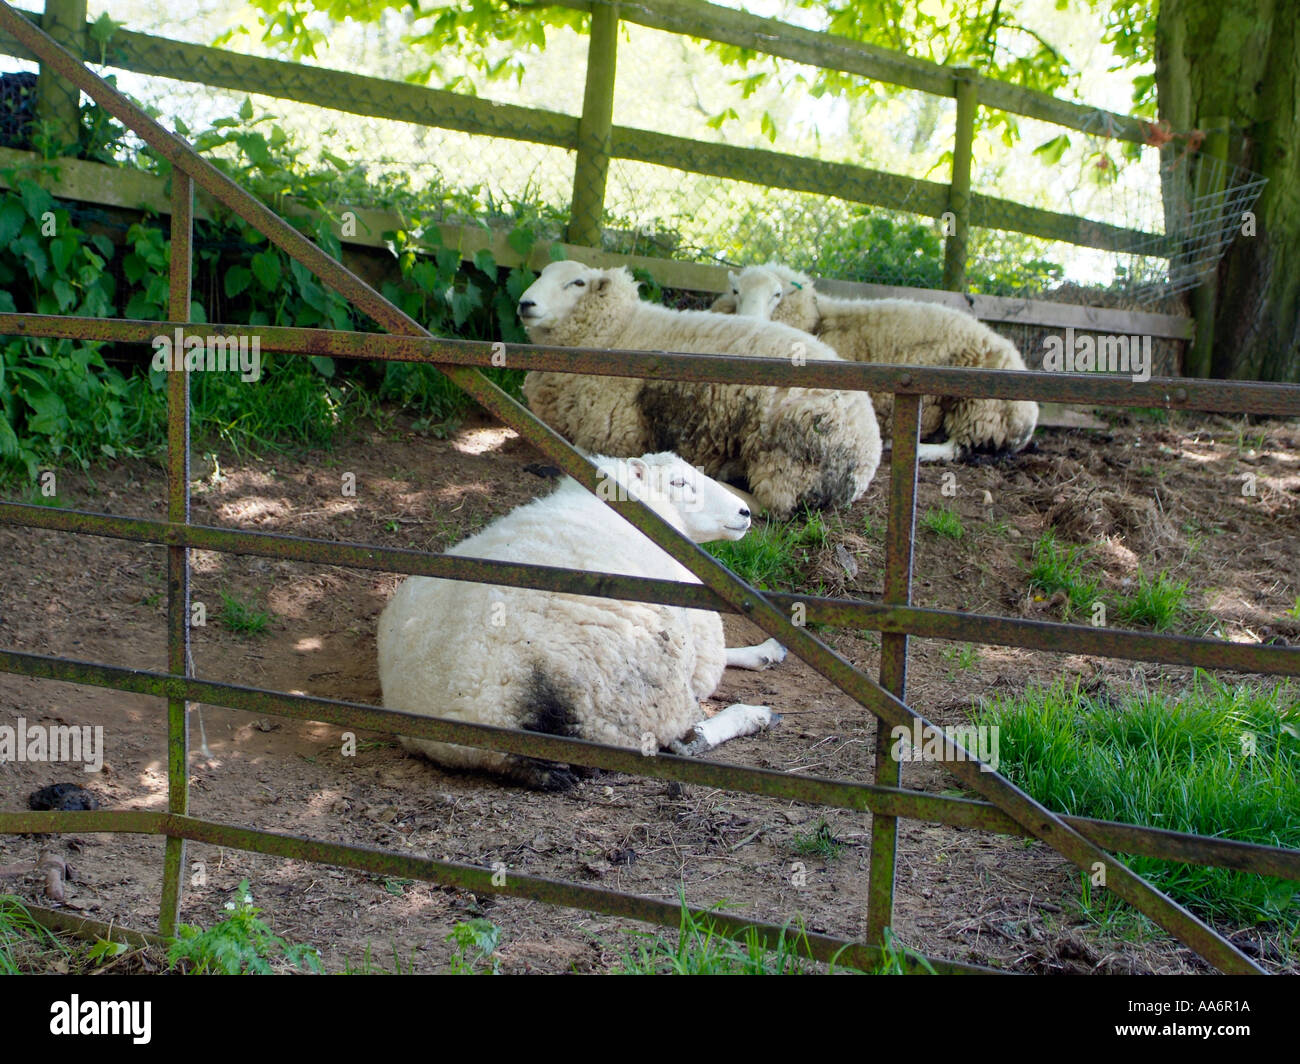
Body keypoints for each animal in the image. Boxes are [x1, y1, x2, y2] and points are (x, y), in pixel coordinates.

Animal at [377, 451, 787, 790]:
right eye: (679, 483)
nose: (745, 513)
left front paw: (767, 650)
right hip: (636, 691)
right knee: (685, 740)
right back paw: (754, 716)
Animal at [517, 261, 881, 520]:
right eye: (541, 273)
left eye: (577, 283)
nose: (525, 303)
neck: (617, 332)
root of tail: (871, 451)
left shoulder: (612, 431)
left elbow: (579, 451)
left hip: (787, 455)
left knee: (776, 507)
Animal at [714, 264, 1039, 461]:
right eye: (736, 291)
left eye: (777, 294)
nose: (749, 322)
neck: (818, 320)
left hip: (980, 407)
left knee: (957, 447)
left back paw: (911, 448)